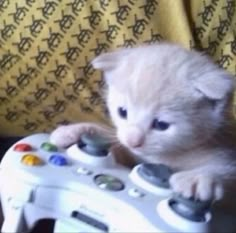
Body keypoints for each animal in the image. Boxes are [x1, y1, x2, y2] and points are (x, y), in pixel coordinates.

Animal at [50, 42, 236, 205]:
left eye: (161, 125)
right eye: (122, 112)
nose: (133, 141)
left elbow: (226, 171)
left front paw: (199, 178)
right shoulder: (131, 154)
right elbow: (115, 145)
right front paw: (74, 131)